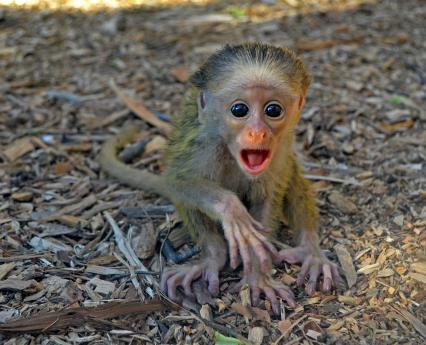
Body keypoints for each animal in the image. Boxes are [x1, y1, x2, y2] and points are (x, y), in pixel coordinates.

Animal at [99, 42, 340, 312]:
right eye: (239, 110)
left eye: (273, 110)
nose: (257, 133)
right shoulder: (204, 145)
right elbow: (178, 181)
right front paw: (232, 211)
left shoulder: (279, 151)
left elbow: (268, 199)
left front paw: (257, 277)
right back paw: (213, 257)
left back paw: (311, 250)